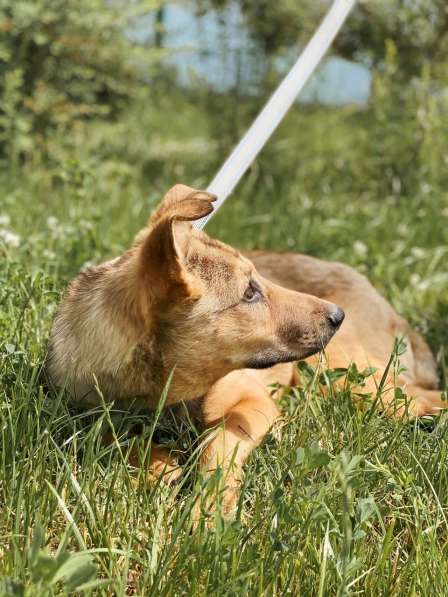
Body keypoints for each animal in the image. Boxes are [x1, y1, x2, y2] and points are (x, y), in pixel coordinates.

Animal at [47, 183, 446, 512]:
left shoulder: (251, 402)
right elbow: (105, 436)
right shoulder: (76, 415)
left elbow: (218, 444)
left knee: (424, 398)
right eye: (250, 292)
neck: (166, 392)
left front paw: (208, 510)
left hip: (346, 374)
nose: (338, 315)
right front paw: (155, 463)